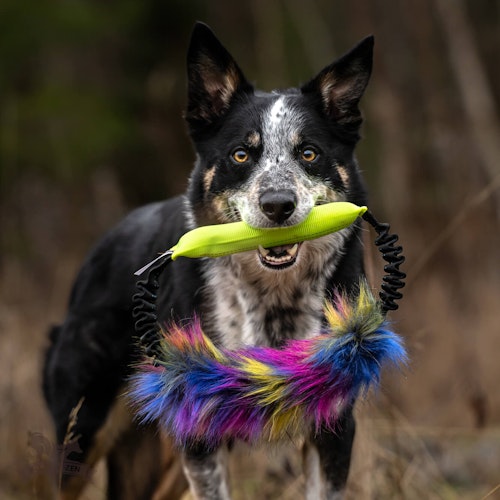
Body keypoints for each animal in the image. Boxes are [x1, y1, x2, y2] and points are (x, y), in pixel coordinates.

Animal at [43, 21, 374, 498]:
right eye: (241, 154)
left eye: (308, 152)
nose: (278, 205)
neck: (272, 298)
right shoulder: (201, 432)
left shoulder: (333, 428)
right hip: (84, 431)